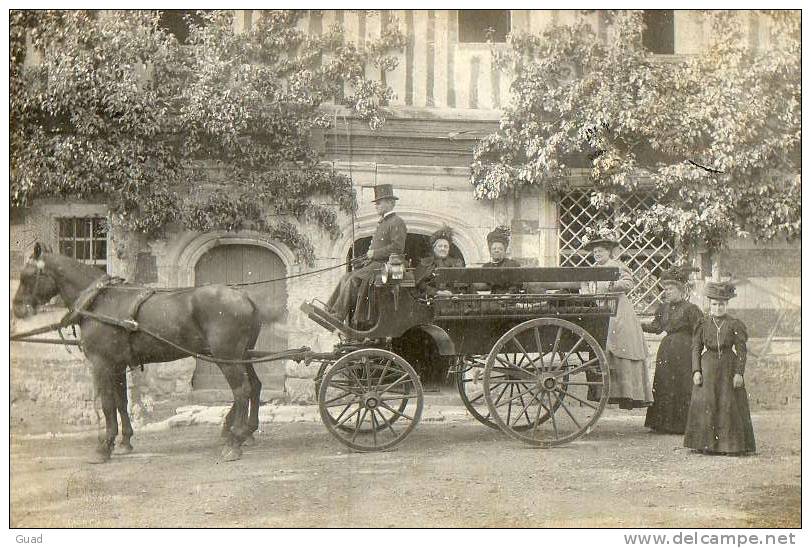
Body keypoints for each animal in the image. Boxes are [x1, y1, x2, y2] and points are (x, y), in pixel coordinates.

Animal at [11, 244, 266, 462]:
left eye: (28, 275)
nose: (17, 309)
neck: (99, 301)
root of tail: (245, 297)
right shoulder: (118, 365)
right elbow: (121, 402)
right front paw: (124, 441)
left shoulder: (102, 364)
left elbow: (107, 404)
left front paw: (104, 447)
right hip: (244, 356)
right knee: (254, 385)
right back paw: (246, 431)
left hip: (228, 358)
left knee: (242, 391)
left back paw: (234, 441)